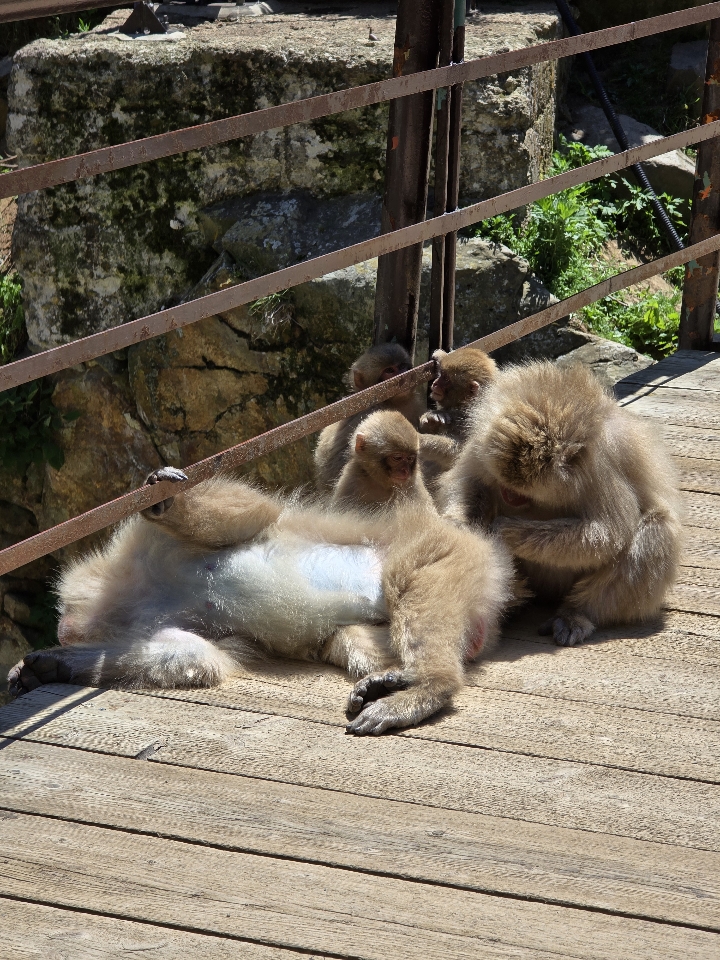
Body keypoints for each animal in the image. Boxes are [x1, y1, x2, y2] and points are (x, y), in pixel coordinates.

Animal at [8, 467, 515, 735]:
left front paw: (164, 500)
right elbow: (191, 658)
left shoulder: (153, 545)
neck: (143, 591)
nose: (63, 629)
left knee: (415, 593)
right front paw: (52, 666)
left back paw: (429, 687)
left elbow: (252, 515)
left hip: (438, 551)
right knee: (348, 639)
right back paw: (387, 681)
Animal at [440, 361, 683, 647]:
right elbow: (469, 481)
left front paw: (503, 531)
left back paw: (576, 613)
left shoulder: (601, 465)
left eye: (521, 492)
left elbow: (607, 533)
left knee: (658, 527)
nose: (509, 494)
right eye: (506, 485)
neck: (556, 401)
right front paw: (459, 524)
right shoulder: (483, 439)